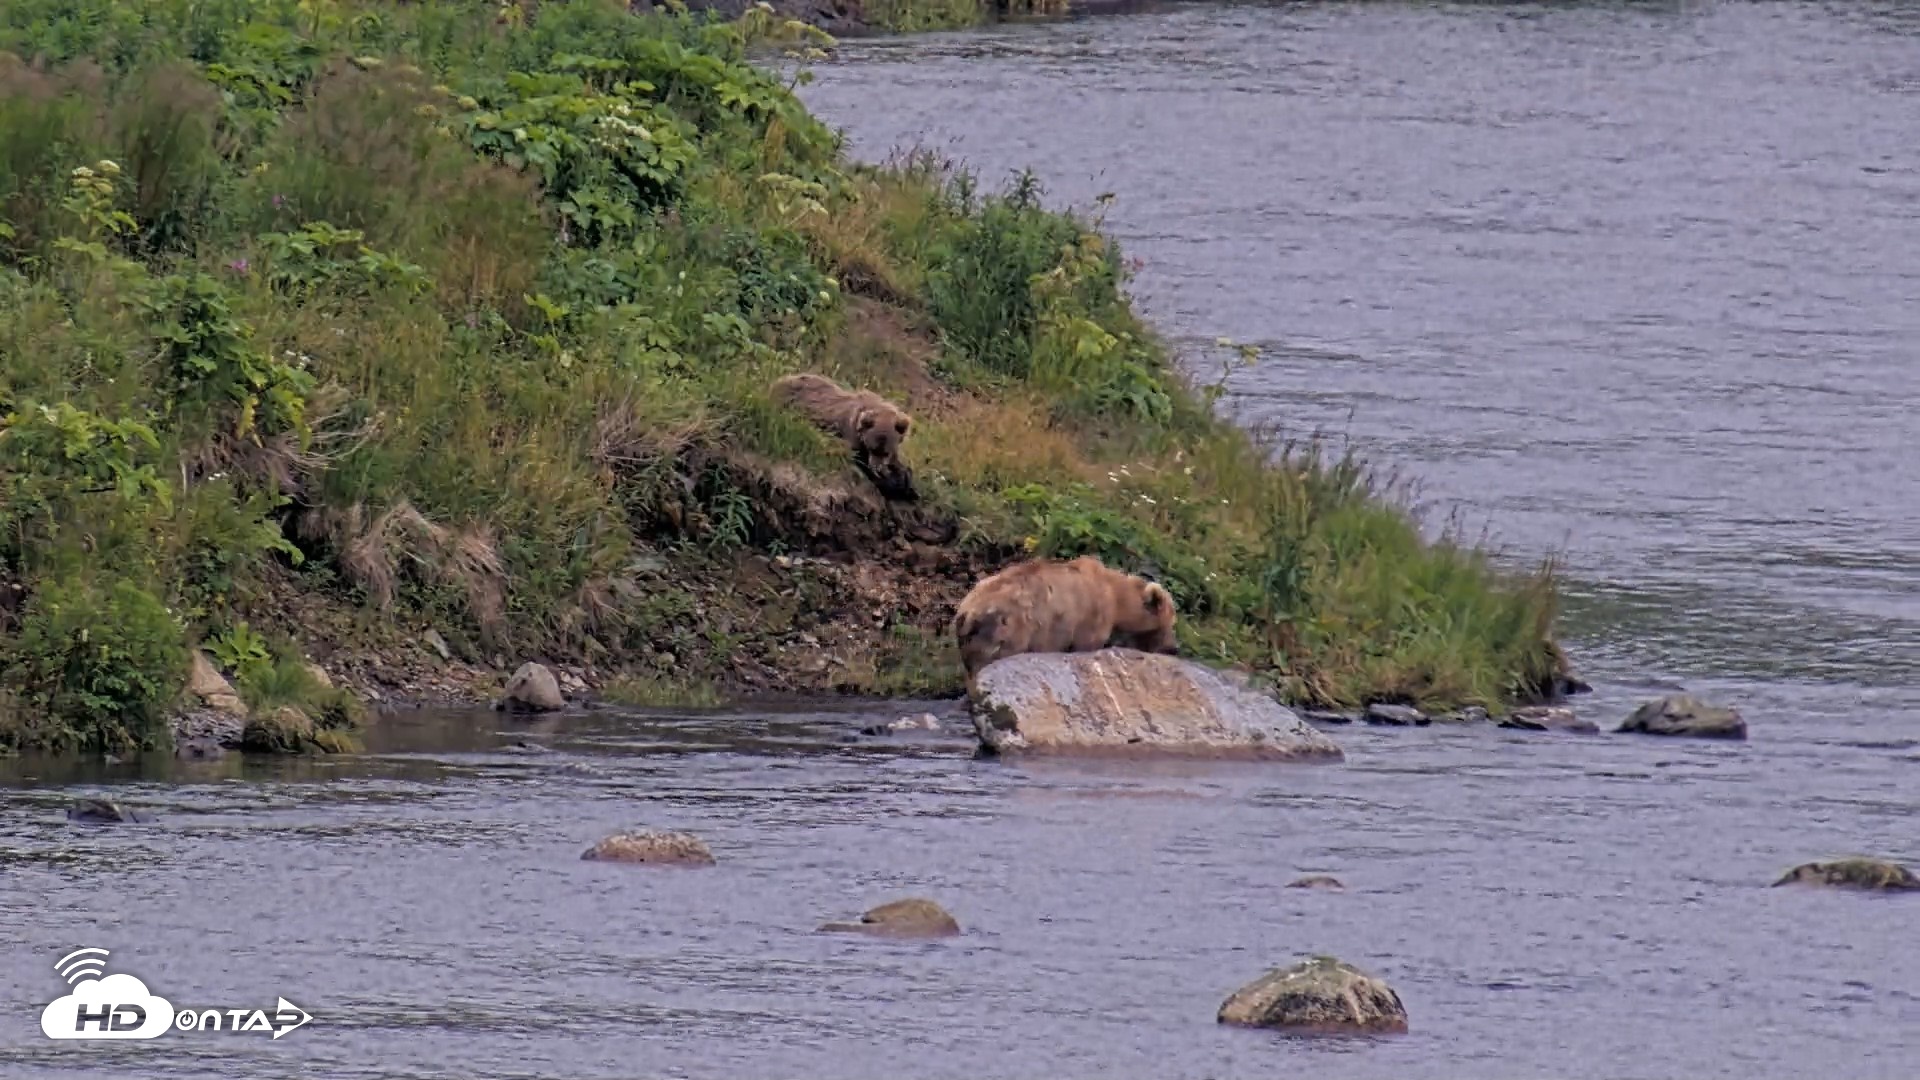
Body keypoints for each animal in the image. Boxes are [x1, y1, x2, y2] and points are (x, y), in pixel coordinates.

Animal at [769, 372, 917, 501]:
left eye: (886, 452)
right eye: (872, 448)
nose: (878, 469)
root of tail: (779, 381)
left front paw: (907, 483)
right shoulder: (851, 434)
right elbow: (858, 459)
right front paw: (892, 486)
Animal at [950, 555, 1179, 696]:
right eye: (1171, 622)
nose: (1173, 648)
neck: (1116, 599)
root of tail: (967, 610)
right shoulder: (1089, 619)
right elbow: (1086, 645)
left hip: (970, 641)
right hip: (1006, 630)